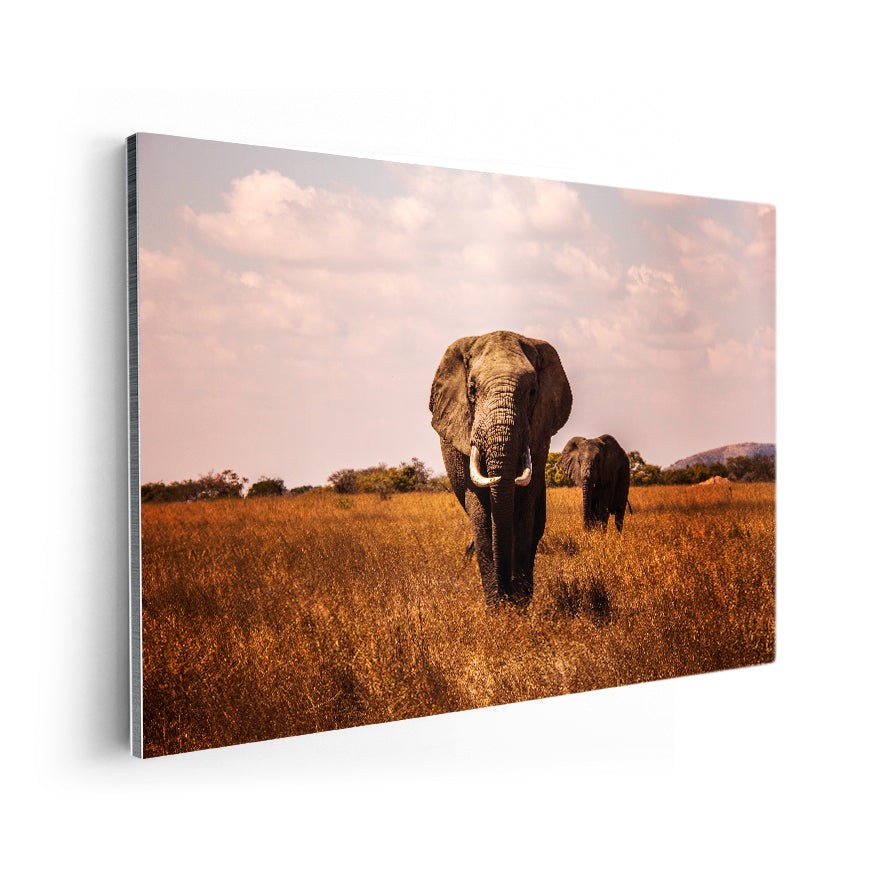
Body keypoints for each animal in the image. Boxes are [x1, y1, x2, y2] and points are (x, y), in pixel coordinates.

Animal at [429, 331, 572, 608]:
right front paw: (498, 609)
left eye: (533, 391)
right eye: (472, 390)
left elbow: (524, 513)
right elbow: (481, 514)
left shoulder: (539, 437)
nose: (508, 595)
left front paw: (519, 607)